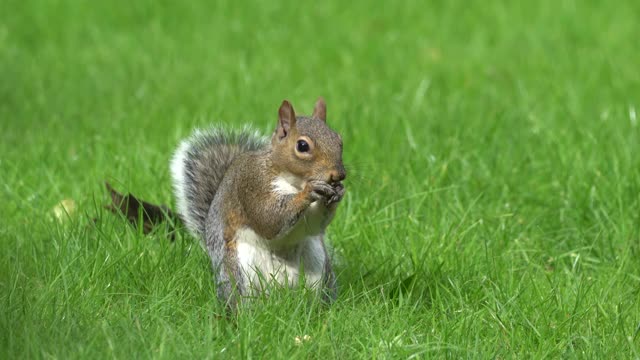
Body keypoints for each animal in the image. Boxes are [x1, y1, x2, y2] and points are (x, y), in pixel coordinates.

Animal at [108, 97, 348, 306]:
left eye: (339, 140)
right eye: (302, 146)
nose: (339, 175)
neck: (292, 181)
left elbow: (313, 225)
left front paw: (337, 194)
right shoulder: (250, 185)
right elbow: (269, 219)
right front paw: (310, 191)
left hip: (318, 266)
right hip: (240, 270)